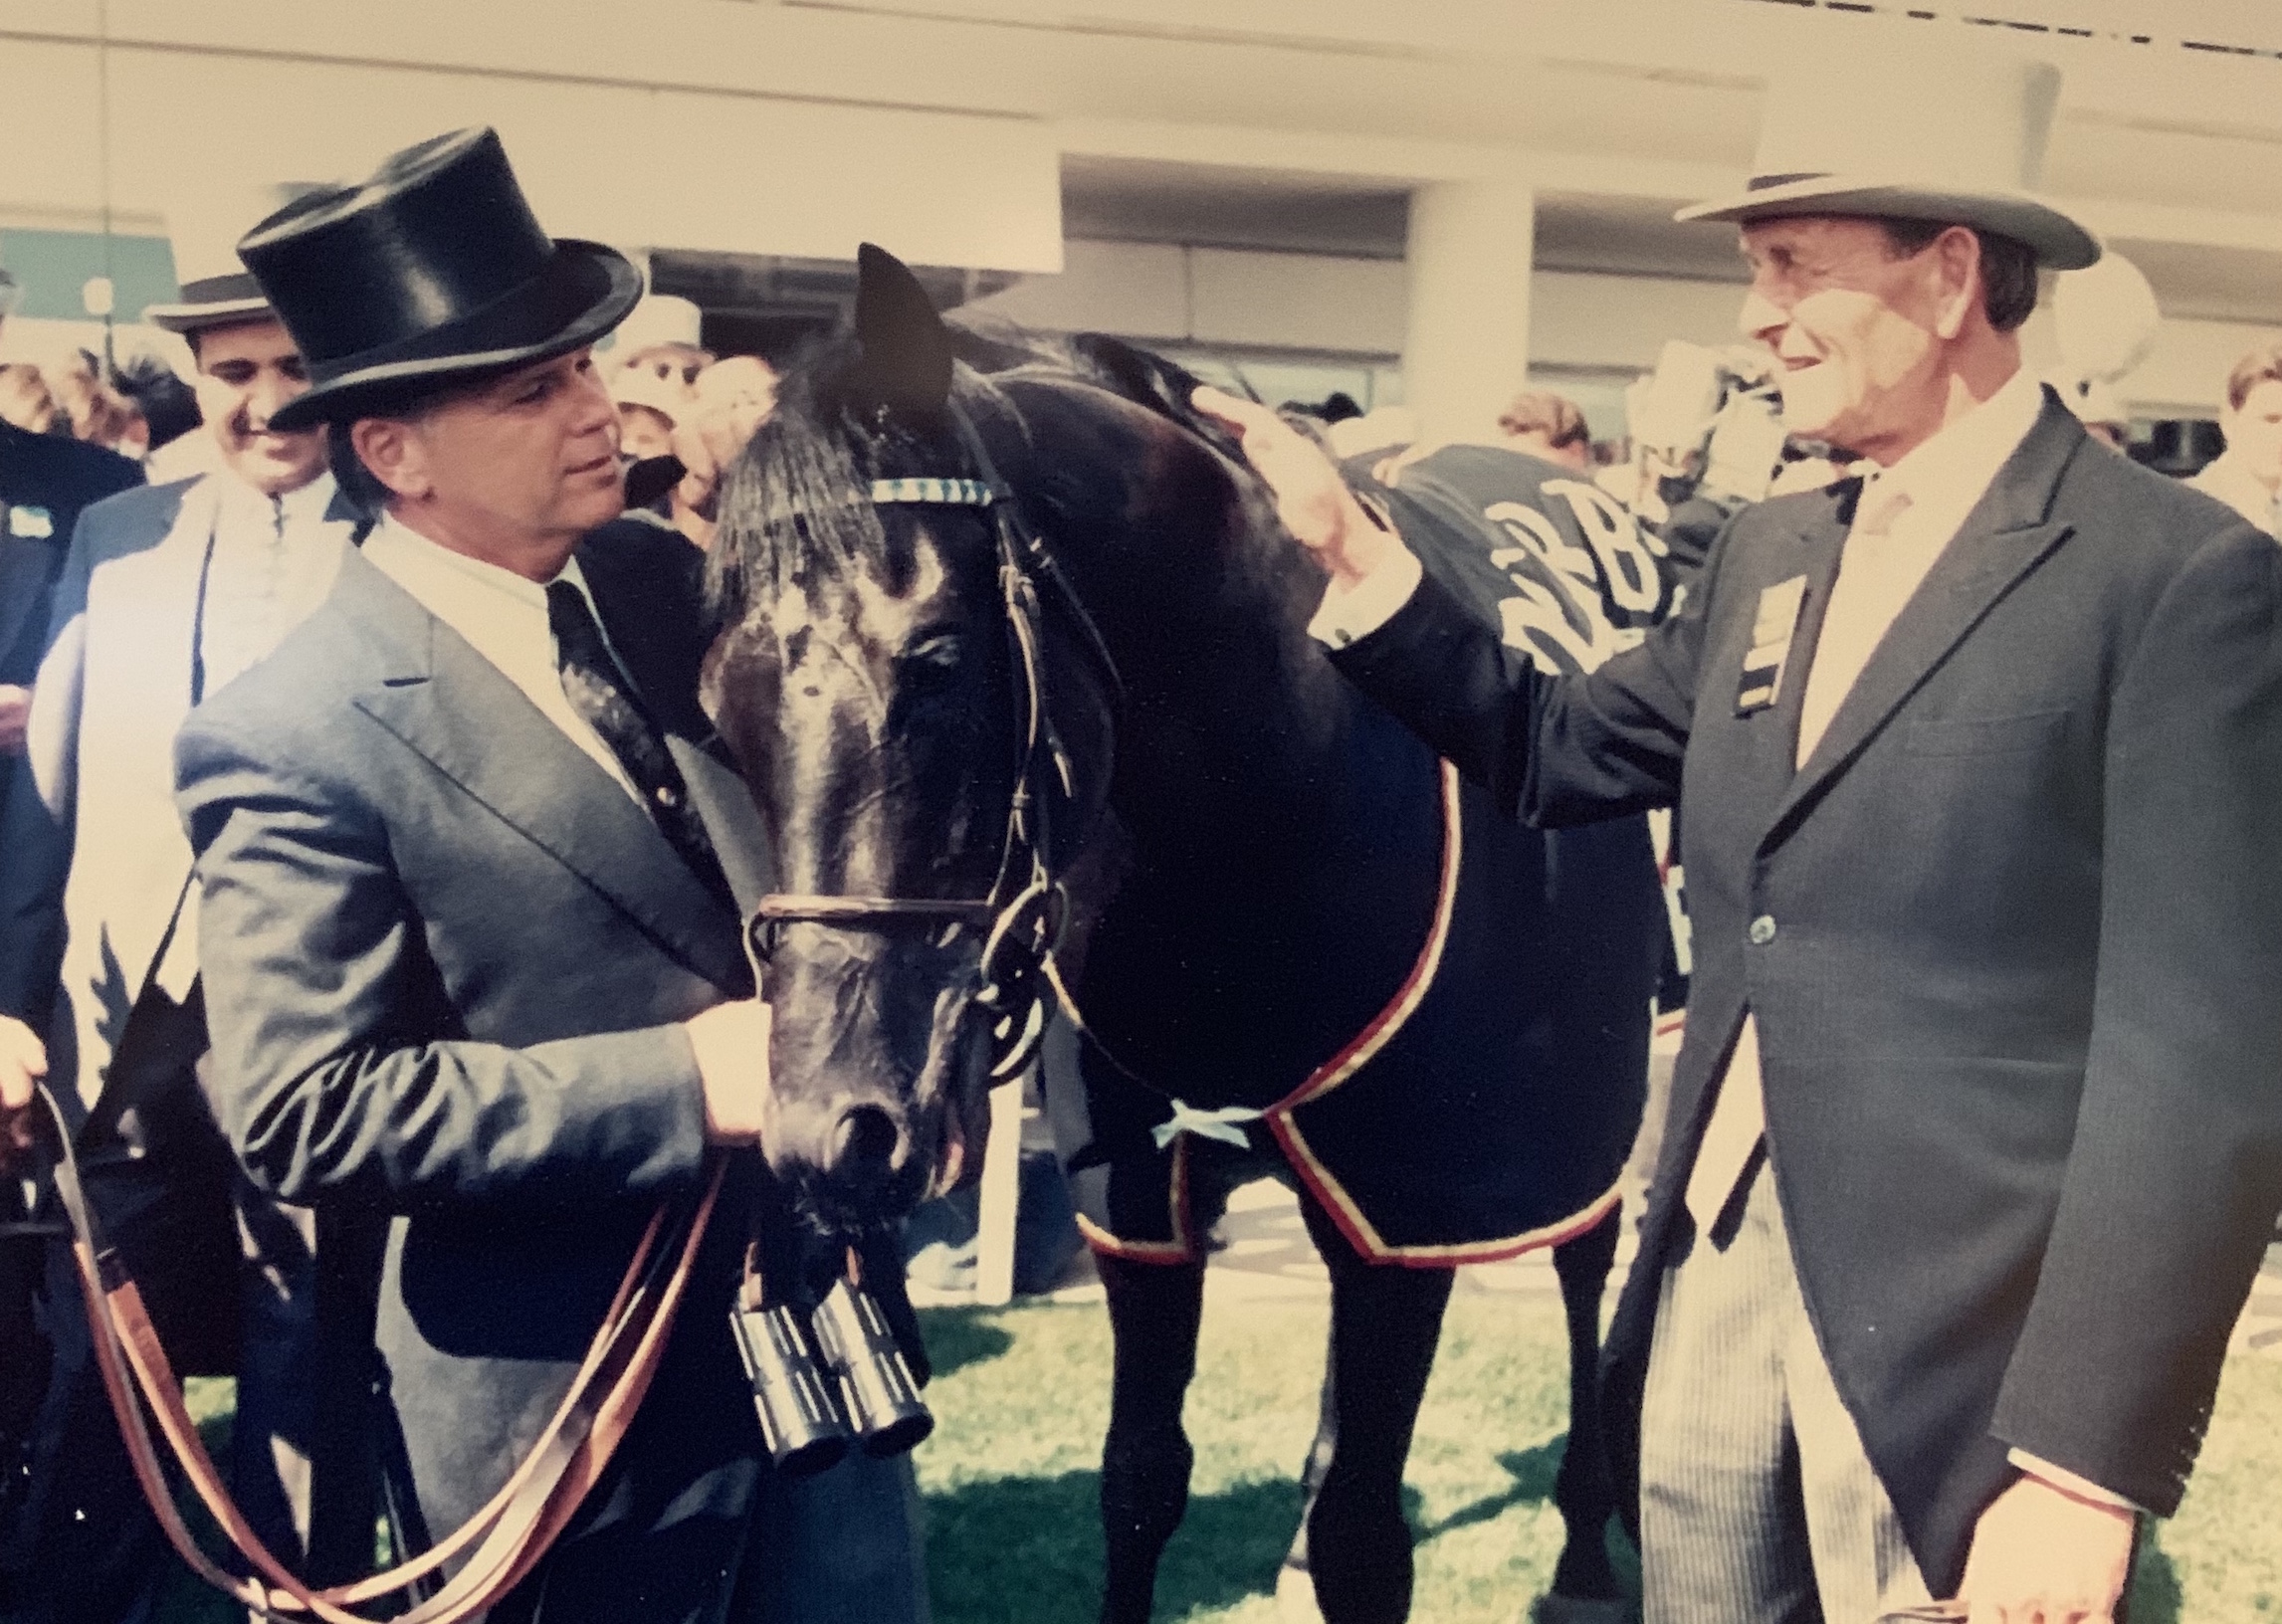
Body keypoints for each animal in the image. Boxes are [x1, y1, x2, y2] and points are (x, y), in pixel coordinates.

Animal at [703, 244, 1670, 1624]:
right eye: (716, 699)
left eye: (935, 660)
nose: (834, 1132)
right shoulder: (1145, 1201)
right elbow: (1141, 1480)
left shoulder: (1421, 1204)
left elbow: (1369, 1540)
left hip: (1582, 1099)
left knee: (1591, 1257)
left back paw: (1588, 1545)